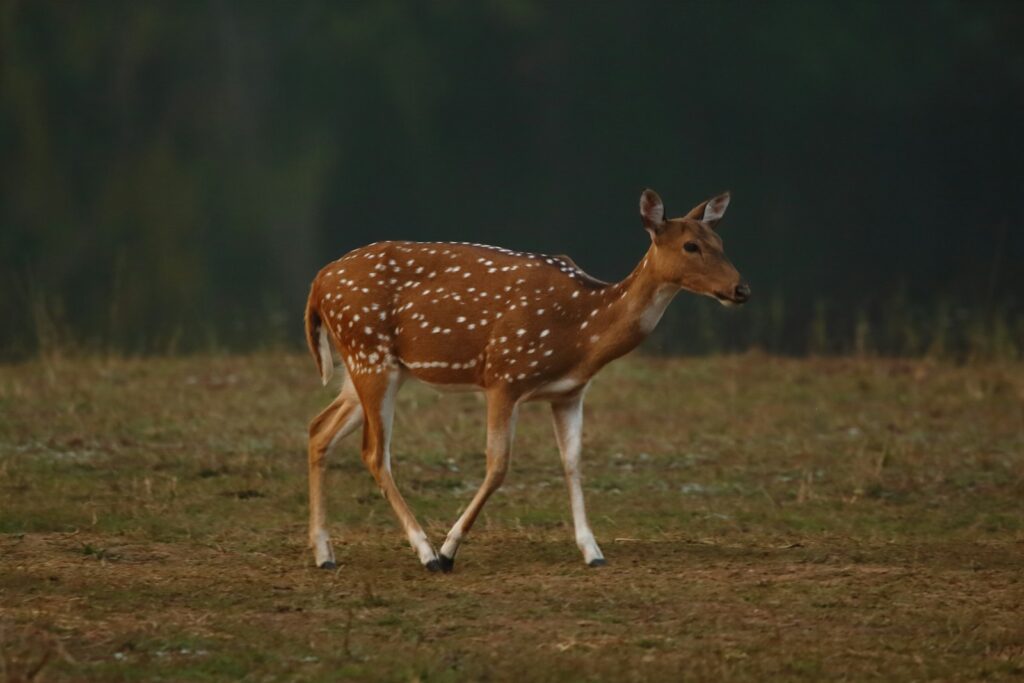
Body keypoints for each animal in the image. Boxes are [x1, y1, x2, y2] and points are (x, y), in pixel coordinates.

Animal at [303, 189, 749, 572]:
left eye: (720, 240)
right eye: (690, 245)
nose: (741, 289)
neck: (584, 334)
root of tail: (318, 283)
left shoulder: (569, 393)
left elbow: (573, 462)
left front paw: (593, 551)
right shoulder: (503, 374)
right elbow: (498, 465)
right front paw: (449, 551)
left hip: (365, 367)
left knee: (319, 429)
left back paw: (325, 554)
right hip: (370, 353)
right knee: (374, 452)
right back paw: (425, 552)